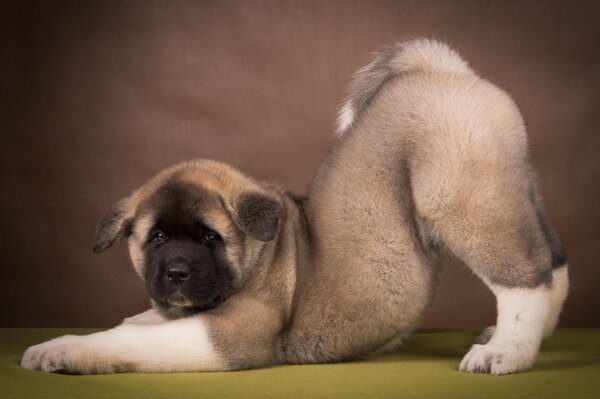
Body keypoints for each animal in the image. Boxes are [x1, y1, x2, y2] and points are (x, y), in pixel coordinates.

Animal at [21, 37, 568, 376]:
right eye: (155, 238)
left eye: (209, 238)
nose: (176, 273)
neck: (262, 254)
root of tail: (440, 72)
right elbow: (133, 325)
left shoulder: (227, 335)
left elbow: (126, 342)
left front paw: (60, 349)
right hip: (512, 188)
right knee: (553, 258)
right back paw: (525, 336)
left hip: (463, 198)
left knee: (525, 277)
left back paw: (507, 351)